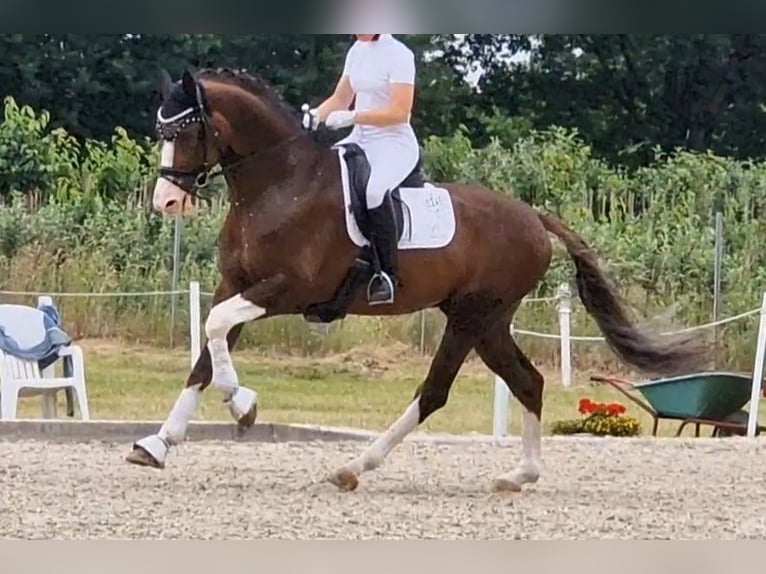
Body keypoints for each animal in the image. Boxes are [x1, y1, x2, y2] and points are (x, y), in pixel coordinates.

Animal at [126, 70, 708, 496]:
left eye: (184, 132)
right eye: (160, 132)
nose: (167, 201)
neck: (278, 186)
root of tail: (532, 217)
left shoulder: (287, 289)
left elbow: (215, 328)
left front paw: (243, 404)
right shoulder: (237, 284)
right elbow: (207, 349)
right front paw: (159, 443)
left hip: (473, 316)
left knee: (435, 391)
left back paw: (357, 465)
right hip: (487, 321)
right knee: (527, 382)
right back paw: (519, 475)